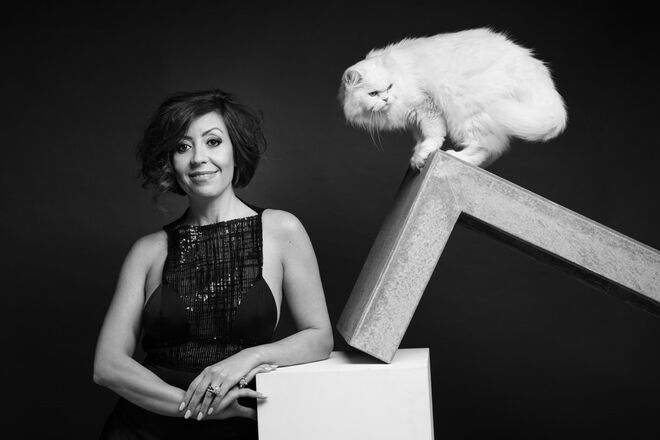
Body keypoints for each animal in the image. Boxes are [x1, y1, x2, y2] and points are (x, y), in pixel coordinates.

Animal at [338, 28, 567, 169]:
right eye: (373, 94)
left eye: (389, 87)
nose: (386, 99)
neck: (402, 76)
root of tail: (532, 65)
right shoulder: (414, 119)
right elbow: (421, 137)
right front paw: (417, 154)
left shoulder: (426, 107)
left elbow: (433, 135)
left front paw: (424, 152)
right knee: (493, 150)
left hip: (466, 115)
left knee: (486, 146)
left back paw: (457, 156)